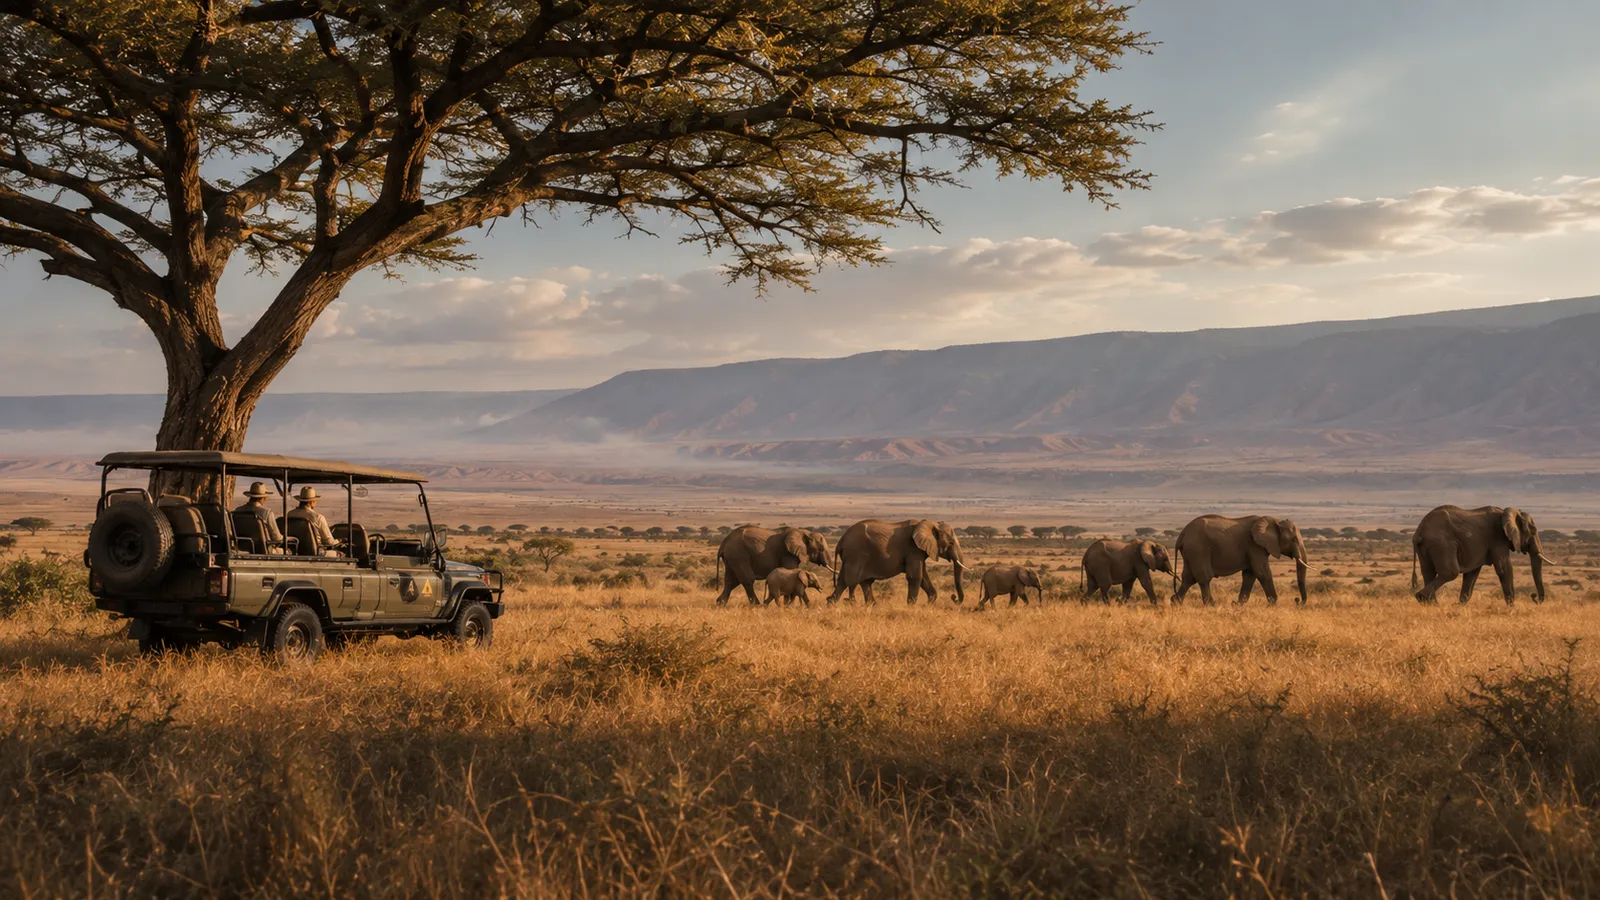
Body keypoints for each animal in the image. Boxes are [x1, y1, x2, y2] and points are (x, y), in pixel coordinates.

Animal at [827, 519, 968, 605]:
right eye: (951, 543)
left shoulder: (919, 551)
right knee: (850, 581)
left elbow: (923, 577)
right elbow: (915, 576)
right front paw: (911, 606)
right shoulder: (913, 549)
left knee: (850, 581)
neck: (931, 524)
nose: (954, 598)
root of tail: (841, 541)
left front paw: (929, 605)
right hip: (855, 554)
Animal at [1173, 515, 1308, 606]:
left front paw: (1237, 605)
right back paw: (1211, 605)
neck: (1275, 520)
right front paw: (1273, 603)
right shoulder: (1255, 545)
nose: (1297, 600)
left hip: (1190, 552)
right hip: (1198, 549)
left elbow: (1250, 575)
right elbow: (1262, 572)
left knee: (1188, 578)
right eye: (1294, 540)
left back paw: (1175, 603)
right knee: (1204, 577)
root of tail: (1182, 534)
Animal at [1412, 505, 1550, 605]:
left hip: (1427, 546)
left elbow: (1472, 574)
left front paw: (1459, 606)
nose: (1534, 596)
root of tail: (1419, 532)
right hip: (1441, 544)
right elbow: (1504, 568)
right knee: (1450, 572)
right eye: (1533, 531)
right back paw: (1423, 598)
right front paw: (1512, 608)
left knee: (1428, 572)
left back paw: (1431, 604)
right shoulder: (1497, 538)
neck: (1508, 512)